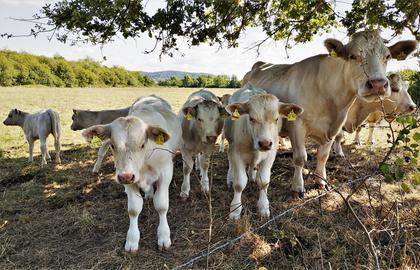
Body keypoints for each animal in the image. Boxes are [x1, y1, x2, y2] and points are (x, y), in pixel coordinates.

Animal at [81, 95, 180, 253]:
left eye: (142, 144)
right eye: (112, 145)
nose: (126, 177)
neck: (143, 164)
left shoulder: (165, 173)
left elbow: (162, 206)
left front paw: (164, 236)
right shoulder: (127, 180)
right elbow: (133, 210)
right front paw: (132, 239)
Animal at [225, 86, 304, 219]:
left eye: (276, 119)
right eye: (251, 118)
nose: (265, 143)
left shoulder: (270, 156)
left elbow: (263, 181)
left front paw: (263, 207)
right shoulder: (237, 154)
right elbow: (239, 183)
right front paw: (235, 210)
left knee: (252, 166)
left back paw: (252, 176)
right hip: (229, 142)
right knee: (230, 161)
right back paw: (230, 177)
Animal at [243, 30, 416, 197]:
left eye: (387, 56)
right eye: (353, 56)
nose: (378, 84)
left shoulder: (334, 128)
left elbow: (323, 156)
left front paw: (321, 181)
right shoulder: (297, 126)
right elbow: (300, 158)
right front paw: (297, 186)